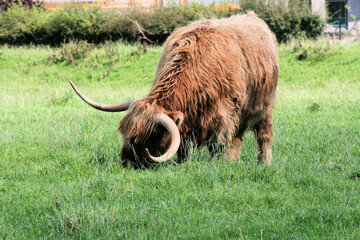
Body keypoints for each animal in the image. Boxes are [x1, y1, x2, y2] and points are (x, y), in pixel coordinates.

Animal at [69, 12, 280, 168]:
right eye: (125, 134)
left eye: (143, 137)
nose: (126, 162)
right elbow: (183, 145)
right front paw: (182, 164)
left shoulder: (225, 115)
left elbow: (219, 144)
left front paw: (219, 164)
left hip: (265, 107)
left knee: (263, 135)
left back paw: (263, 163)